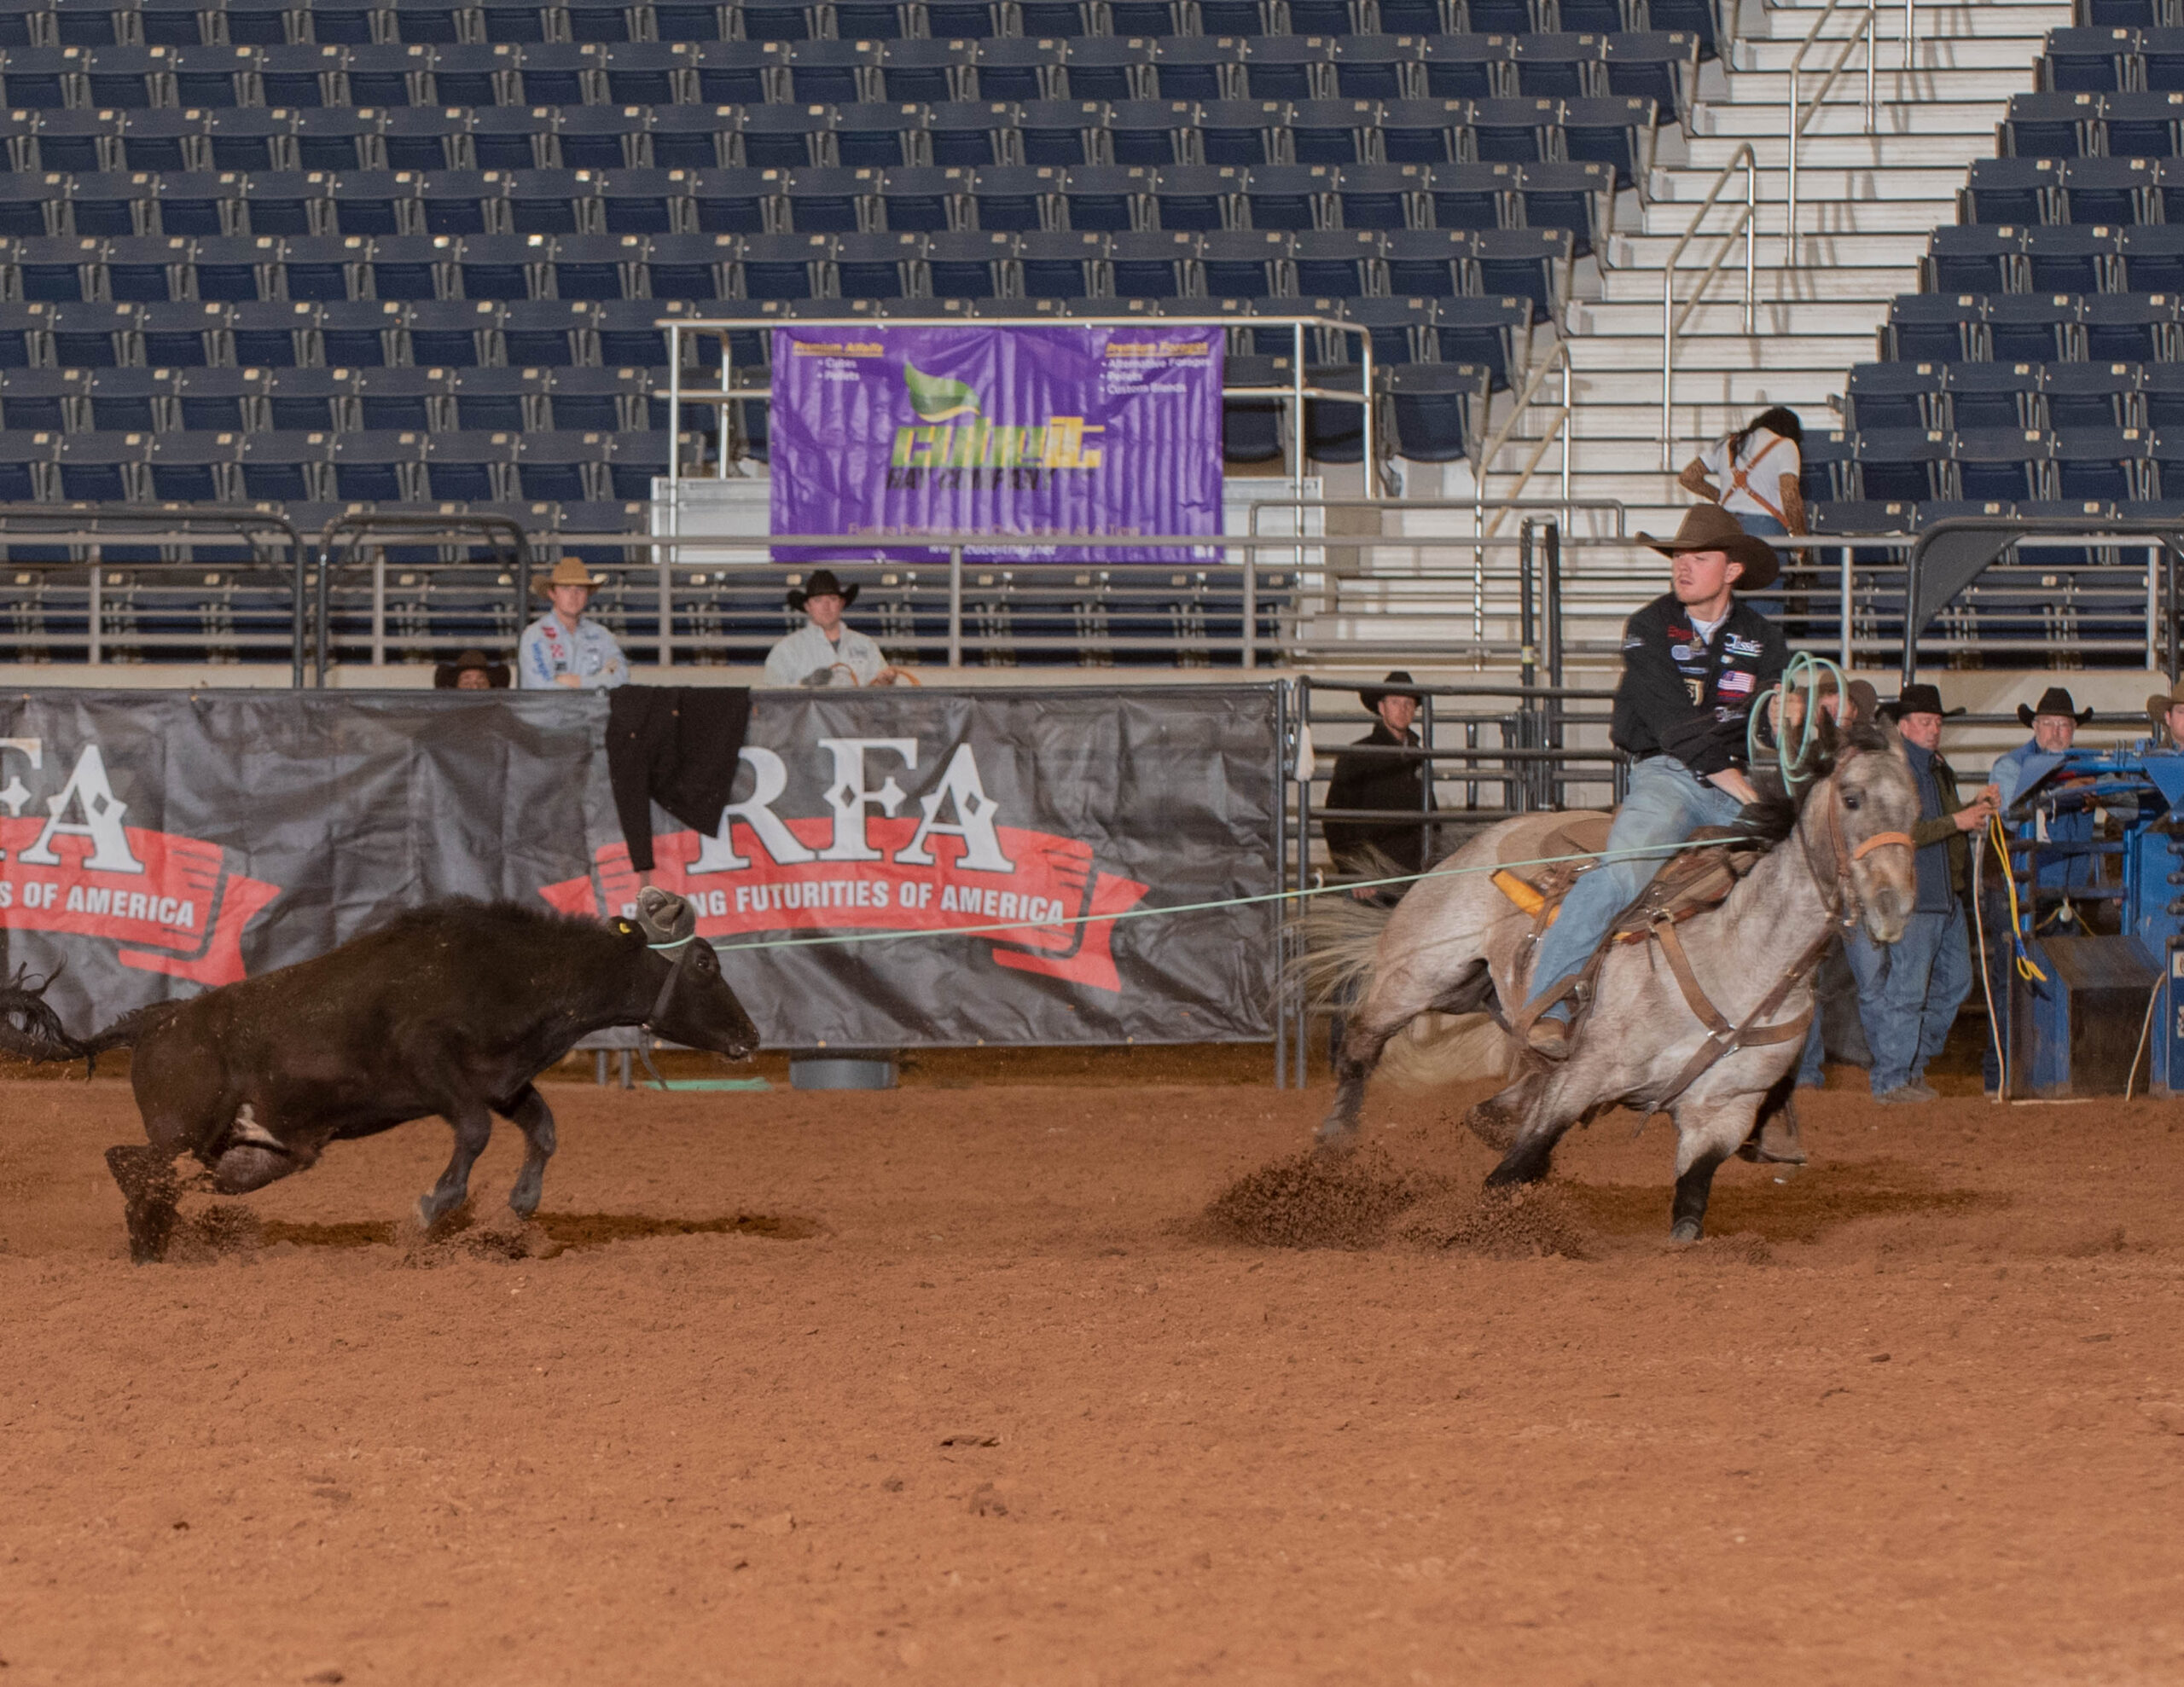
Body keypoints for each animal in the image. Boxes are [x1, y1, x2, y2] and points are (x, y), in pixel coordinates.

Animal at [1301, 711, 1921, 1239]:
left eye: (1915, 809)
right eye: (1852, 798)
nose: (1894, 906)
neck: (1737, 956)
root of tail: (1477, 842)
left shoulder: (1723, 1114)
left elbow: (1689, 1207)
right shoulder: (1585, 1075)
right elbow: (1515, 1169)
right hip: (1422, 973)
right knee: (1360, 1046)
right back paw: (1333, 1150)